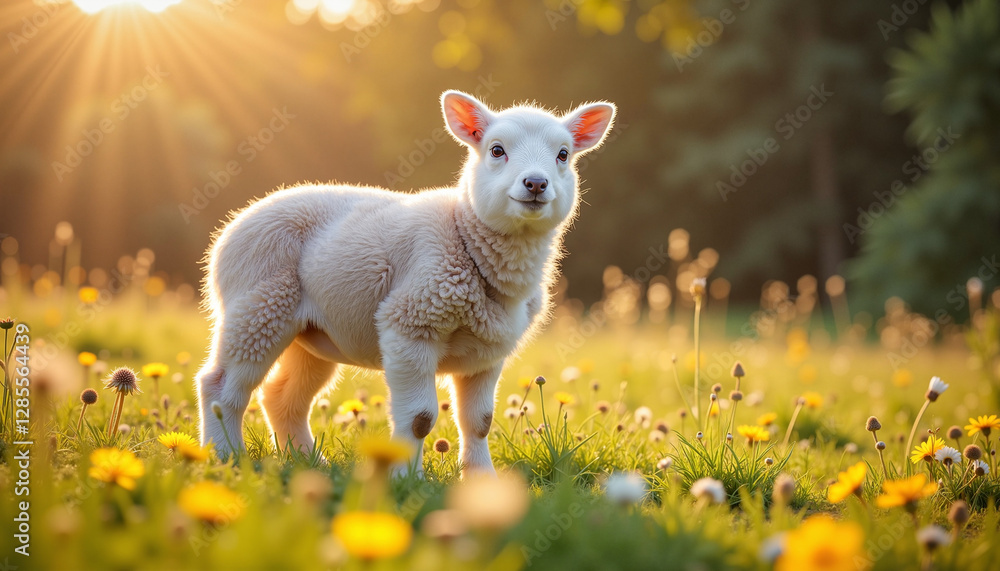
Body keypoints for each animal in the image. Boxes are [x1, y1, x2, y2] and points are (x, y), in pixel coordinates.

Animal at [196, 90, 616, 476]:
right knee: (219, 386)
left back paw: (309, 462)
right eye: (497, 150)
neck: (465, 235)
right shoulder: (410, 322)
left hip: (311, 333)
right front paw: (405, 480)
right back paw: (225, 457)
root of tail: (229, 229)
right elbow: (420, 418)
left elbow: (479, 422)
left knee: (281, 398)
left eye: (563, 155)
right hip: (258, 301)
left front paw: (482, 481)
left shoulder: (489, 348)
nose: (535, 184)